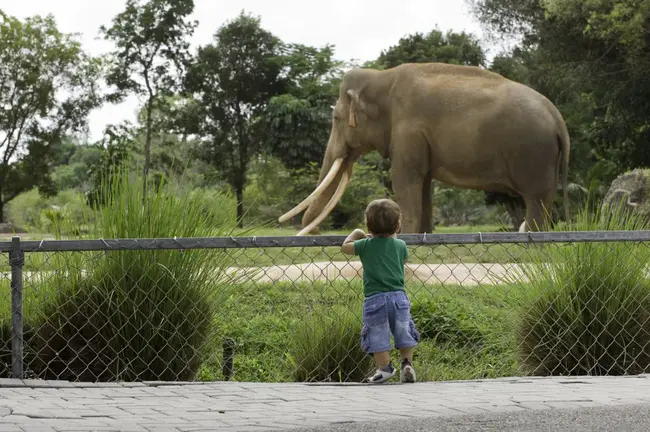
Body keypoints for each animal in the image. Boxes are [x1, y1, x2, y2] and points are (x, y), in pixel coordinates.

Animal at [278, 62, 568, 235]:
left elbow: (404, 179)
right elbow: (424, 182)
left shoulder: (408, 130)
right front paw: (424, 236)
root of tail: (558, 119)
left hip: (533, 153)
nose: (314, 232)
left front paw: (405, 237)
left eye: (336, 118)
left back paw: (531, 239)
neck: (382, 77)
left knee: (535, 198)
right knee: (545, 198)